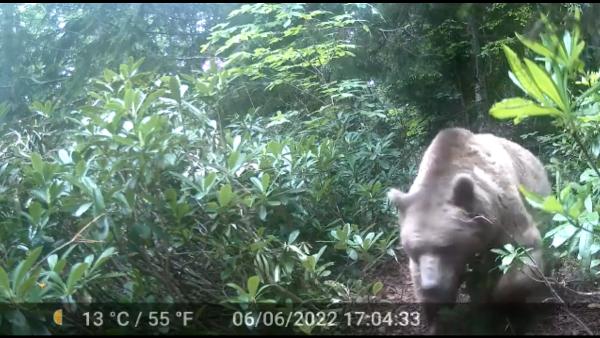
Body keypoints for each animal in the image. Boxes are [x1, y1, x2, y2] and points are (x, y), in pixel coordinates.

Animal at [390, 127, 552, 332]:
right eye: (413, 250)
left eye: (445, 247)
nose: (431, 286)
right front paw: (436, 314)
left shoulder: (505, 212)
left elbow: (523, 249)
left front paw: (498, 303)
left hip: (538, 195)